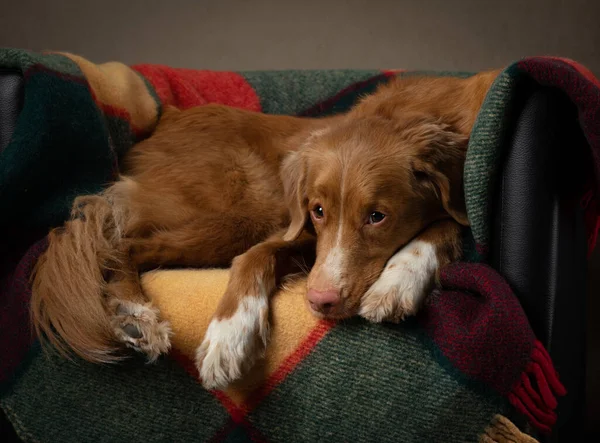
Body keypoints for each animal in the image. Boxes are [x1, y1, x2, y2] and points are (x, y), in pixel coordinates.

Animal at [30, 69, 500, 388]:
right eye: (318, 210)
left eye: (377, 216)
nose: (320, 302)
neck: (413, 113)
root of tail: (167, 120)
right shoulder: (299, 229)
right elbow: (254, 255)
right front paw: (230, 335)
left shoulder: (314, 244)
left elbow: (447, 224)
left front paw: (398, 280)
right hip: (243, 214)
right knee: (122, 245)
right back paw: (135, 314)